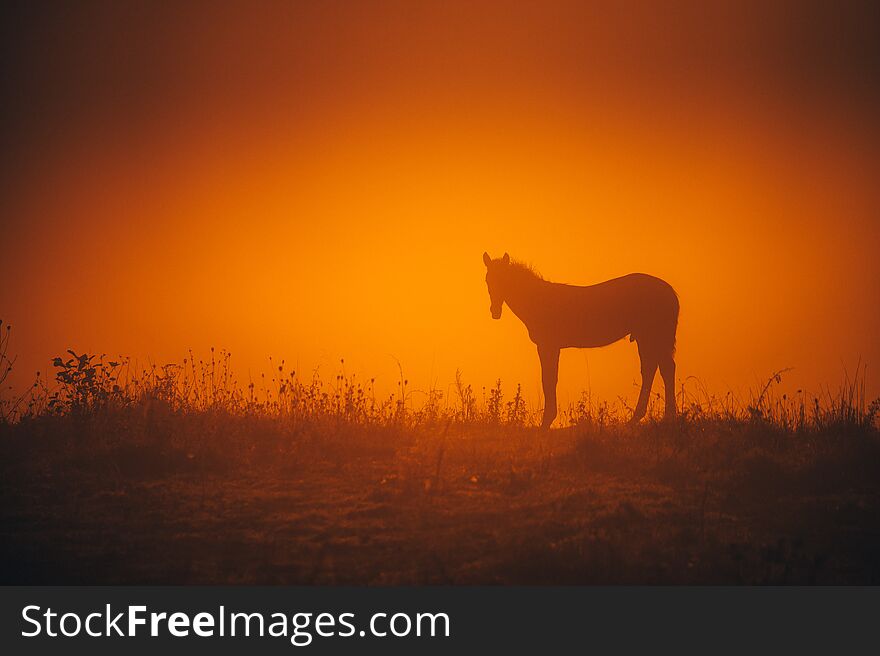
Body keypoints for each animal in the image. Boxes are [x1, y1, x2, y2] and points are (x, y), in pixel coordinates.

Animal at [482, 249, 680, 428]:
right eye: (487, 280)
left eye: (504, 280)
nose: (495, 312)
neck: (539, 301)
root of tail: (670, 291)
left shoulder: (548, 346)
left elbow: (549, 379)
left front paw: (546, 421)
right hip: (647, 337)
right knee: (654, 369)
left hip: (653, 335)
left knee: (662, 369)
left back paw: (665, 416)